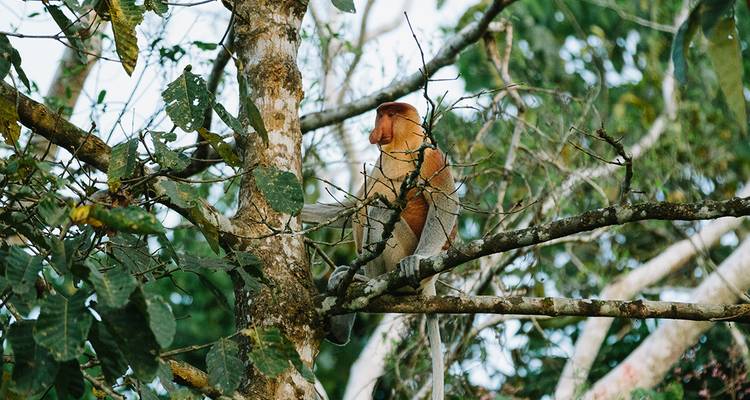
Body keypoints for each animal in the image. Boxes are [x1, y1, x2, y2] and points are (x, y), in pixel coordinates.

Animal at [302, 102, 458, 400]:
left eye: (390, 114)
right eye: (380, 113)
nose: (376, 131)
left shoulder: (431, 156)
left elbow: (445, 203)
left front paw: (416, 259)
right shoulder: (378, 165)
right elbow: (353, 203)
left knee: (379, 210)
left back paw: (367, 279)